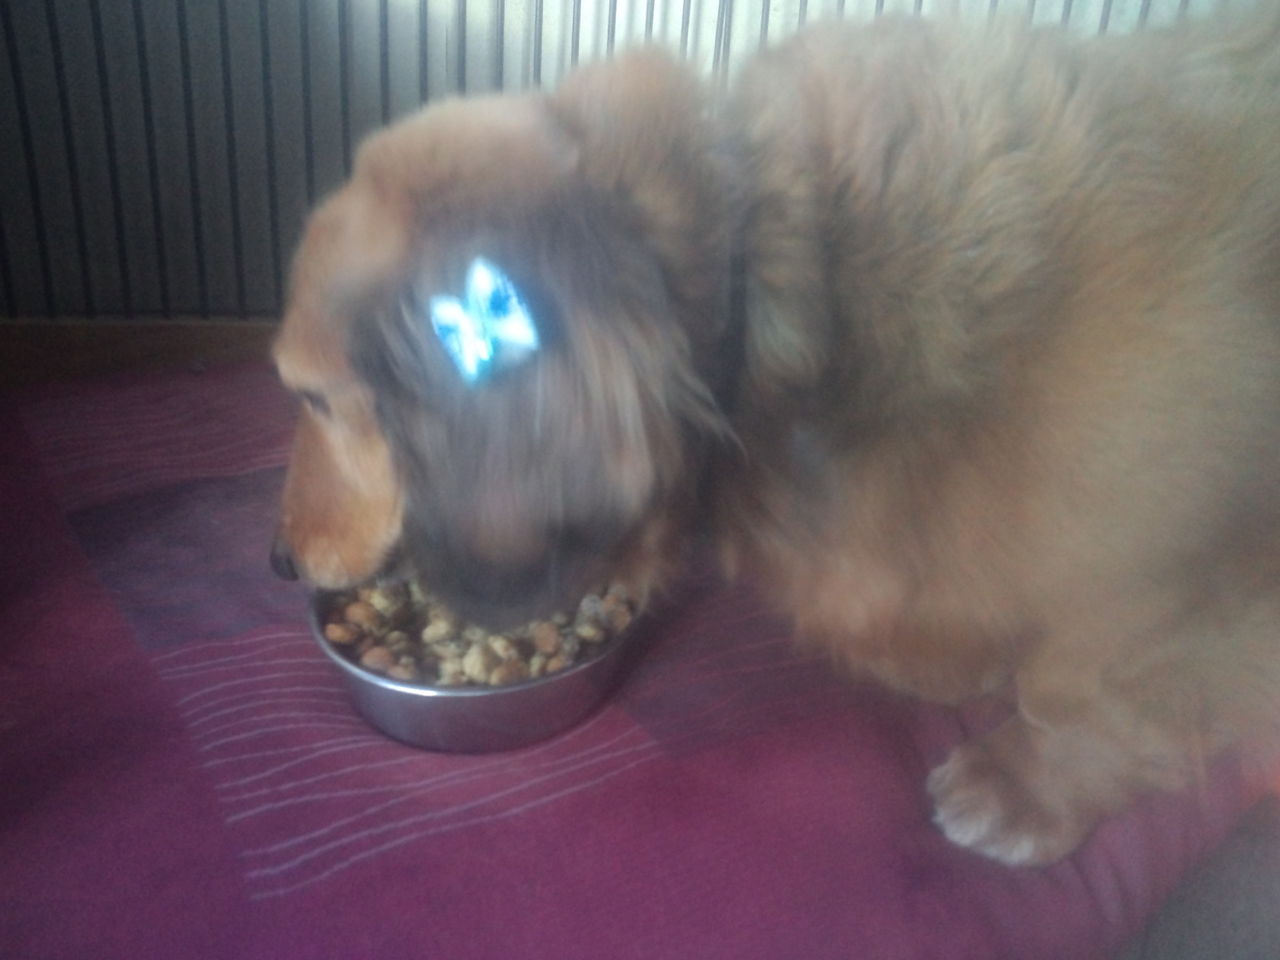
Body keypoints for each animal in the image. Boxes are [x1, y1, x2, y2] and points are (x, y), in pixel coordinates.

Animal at [271, 9, 1280, 865]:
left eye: (316, 399)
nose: (279, 564)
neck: (775, 275)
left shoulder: (1177, 578)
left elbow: (1079, 697)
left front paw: (1025, 788)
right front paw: (953, 663)